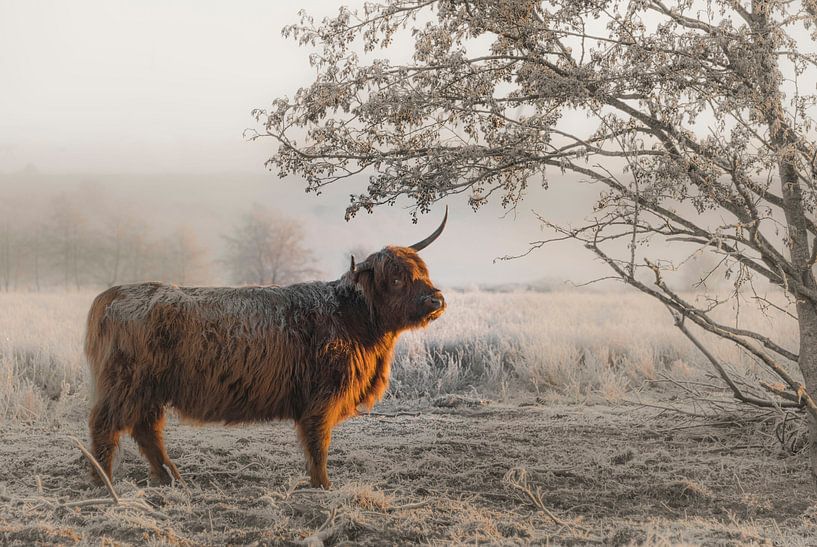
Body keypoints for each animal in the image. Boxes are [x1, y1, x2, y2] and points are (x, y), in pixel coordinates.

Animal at [83, 209, 446, 488]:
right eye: (395, 279)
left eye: (423, 272)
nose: (437, 300)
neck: (354, 319)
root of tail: (116, 293)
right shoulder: (321, 398)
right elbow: (318, 444)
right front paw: (323, 486)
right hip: (126, 384)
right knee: (106, 426)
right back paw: (104, 482)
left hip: (149, 390)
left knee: (147, 430)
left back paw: (171, 478)